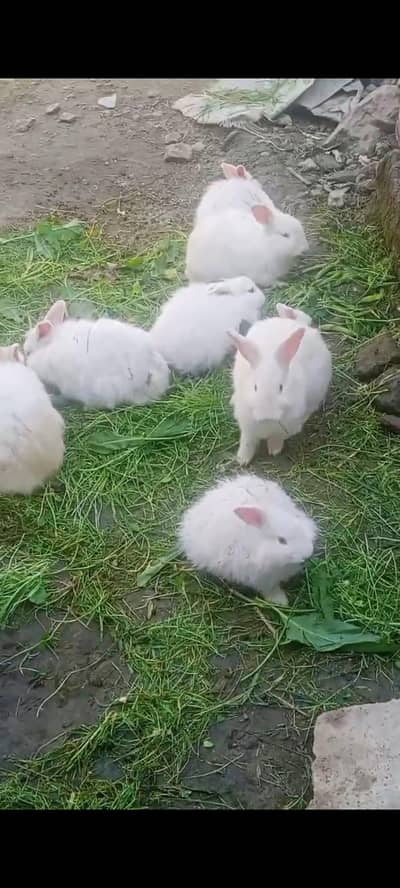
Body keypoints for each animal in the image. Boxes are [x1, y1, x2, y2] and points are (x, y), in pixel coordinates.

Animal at [179, 473, 318, 605]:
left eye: (300, 526)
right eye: (282, 540)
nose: (308, 554)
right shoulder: (260, 578)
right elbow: (270, 589)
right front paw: (280, 601)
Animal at [229, 316, 332, 465]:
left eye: (281, 387)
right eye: (255, 387)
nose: (267, 415)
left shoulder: (286, 427)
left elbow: (277, 437)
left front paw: (274, 450)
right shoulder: (247, 425)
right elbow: (247, 442)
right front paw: (242, 459)